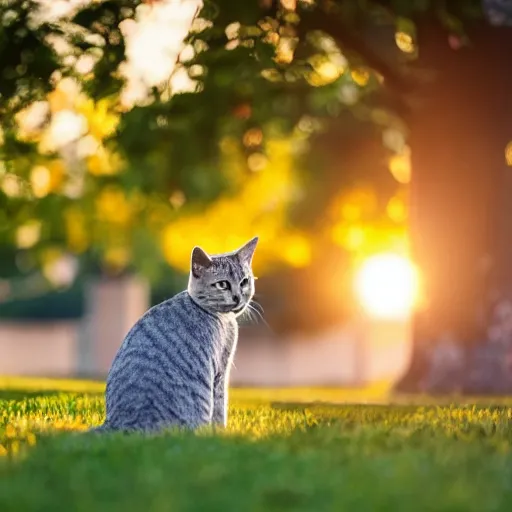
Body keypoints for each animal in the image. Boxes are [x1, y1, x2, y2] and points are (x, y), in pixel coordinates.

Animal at [92, 236, 258, 432]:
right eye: (223, 284)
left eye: (244, 281)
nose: (238, 297)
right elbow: (220, 409)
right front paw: (220, 433)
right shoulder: (220, 371)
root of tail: (118, 424)